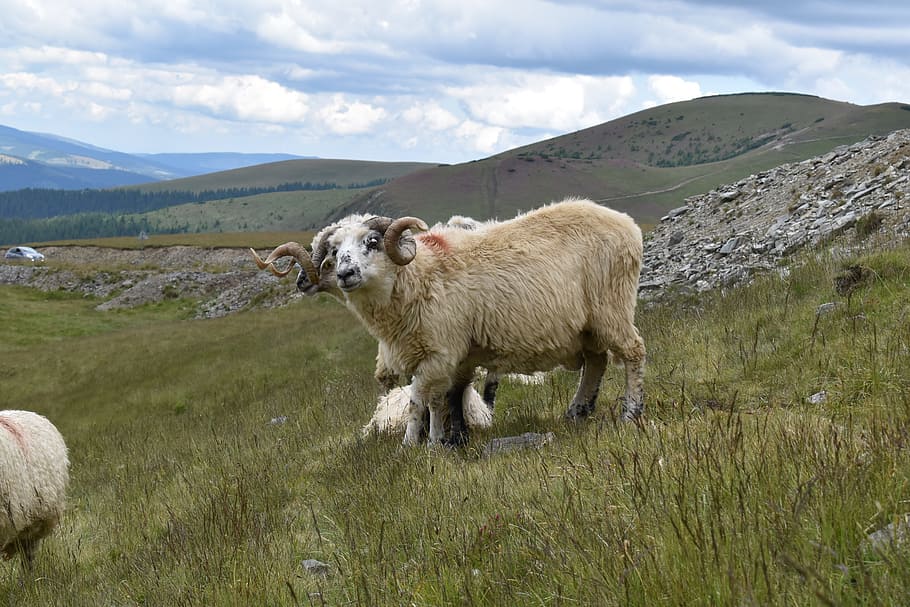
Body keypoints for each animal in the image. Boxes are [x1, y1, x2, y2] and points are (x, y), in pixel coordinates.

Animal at [253, 197, 645, 446]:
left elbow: (419, 400)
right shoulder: (454, 354)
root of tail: (628, 224)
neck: (417, 275)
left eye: (373, 241)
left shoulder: (440, 352)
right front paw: (450, 439)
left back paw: (631, 413)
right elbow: (447, 397)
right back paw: (577, 412)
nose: (347, 273)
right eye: (333, 252)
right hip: (589, 325)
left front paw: (416, 444)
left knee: (633, 353)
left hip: (611, 305)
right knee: (596, 362)